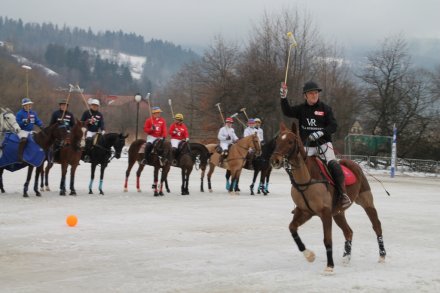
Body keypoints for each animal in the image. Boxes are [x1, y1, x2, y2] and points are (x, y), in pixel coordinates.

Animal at [268, 122, 384, 272]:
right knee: (348, 231)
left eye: (290, 141)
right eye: (277, 141)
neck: (306, 179)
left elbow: (327, 239)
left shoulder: (325, 212)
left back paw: (382, 255)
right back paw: (346, 257)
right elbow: (292, 228)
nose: (274, 161)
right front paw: (309, 255)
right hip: (338, 212)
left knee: (376, 225)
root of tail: (354, 164)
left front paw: (329, 266)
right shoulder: (304, 211)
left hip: (366, 200)